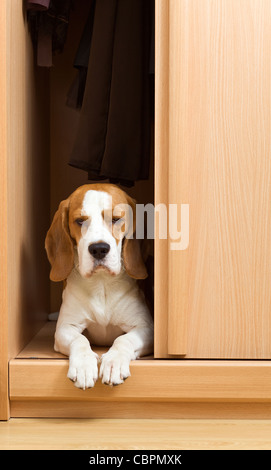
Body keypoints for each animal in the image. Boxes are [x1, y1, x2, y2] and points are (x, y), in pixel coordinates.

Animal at [45, 184, 154, 390]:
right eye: (80, 221)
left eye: (116, 219)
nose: (99, 249)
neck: (102, 283)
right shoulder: (64, 328)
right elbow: (80, 340)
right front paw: (83, 365)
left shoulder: (146, 328)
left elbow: (123, 339)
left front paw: (114, 362)